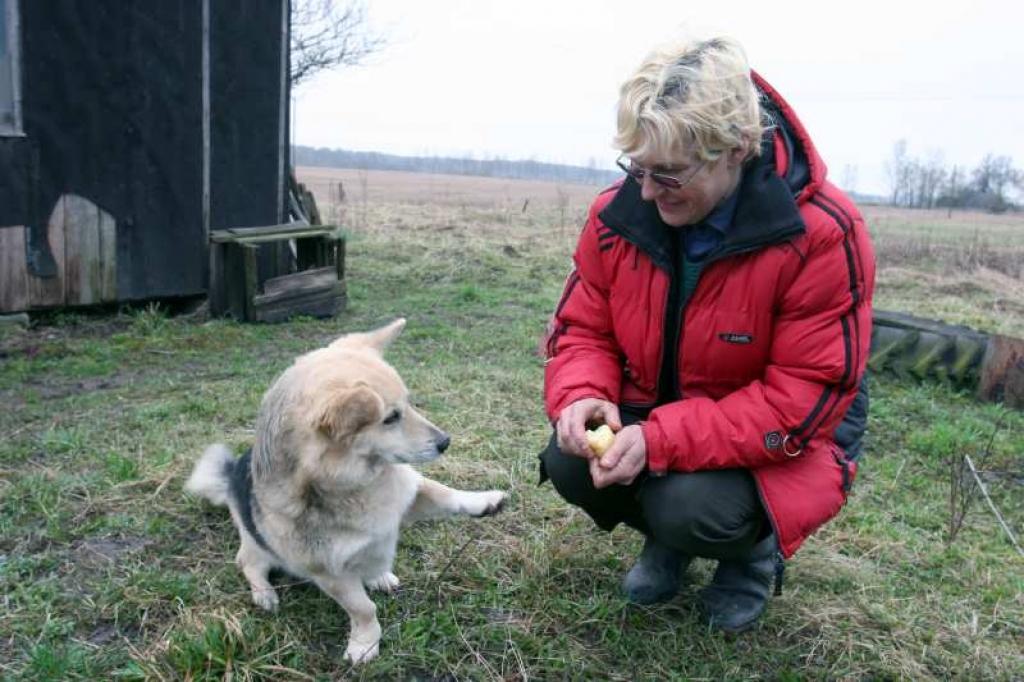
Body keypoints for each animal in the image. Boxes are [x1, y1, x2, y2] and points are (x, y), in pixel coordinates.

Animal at [186, 319, 505, 659]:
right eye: (390, 418)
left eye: (407, 404)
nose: (446, 442)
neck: (360, 483)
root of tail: (232, 473)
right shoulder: (332, 576)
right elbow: (363, 609)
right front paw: (364, 643)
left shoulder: (408, 494)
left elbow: (447, 494)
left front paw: (485, 501)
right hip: (257, 546)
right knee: (248, 564)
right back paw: (264, 593)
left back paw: (379, 574)